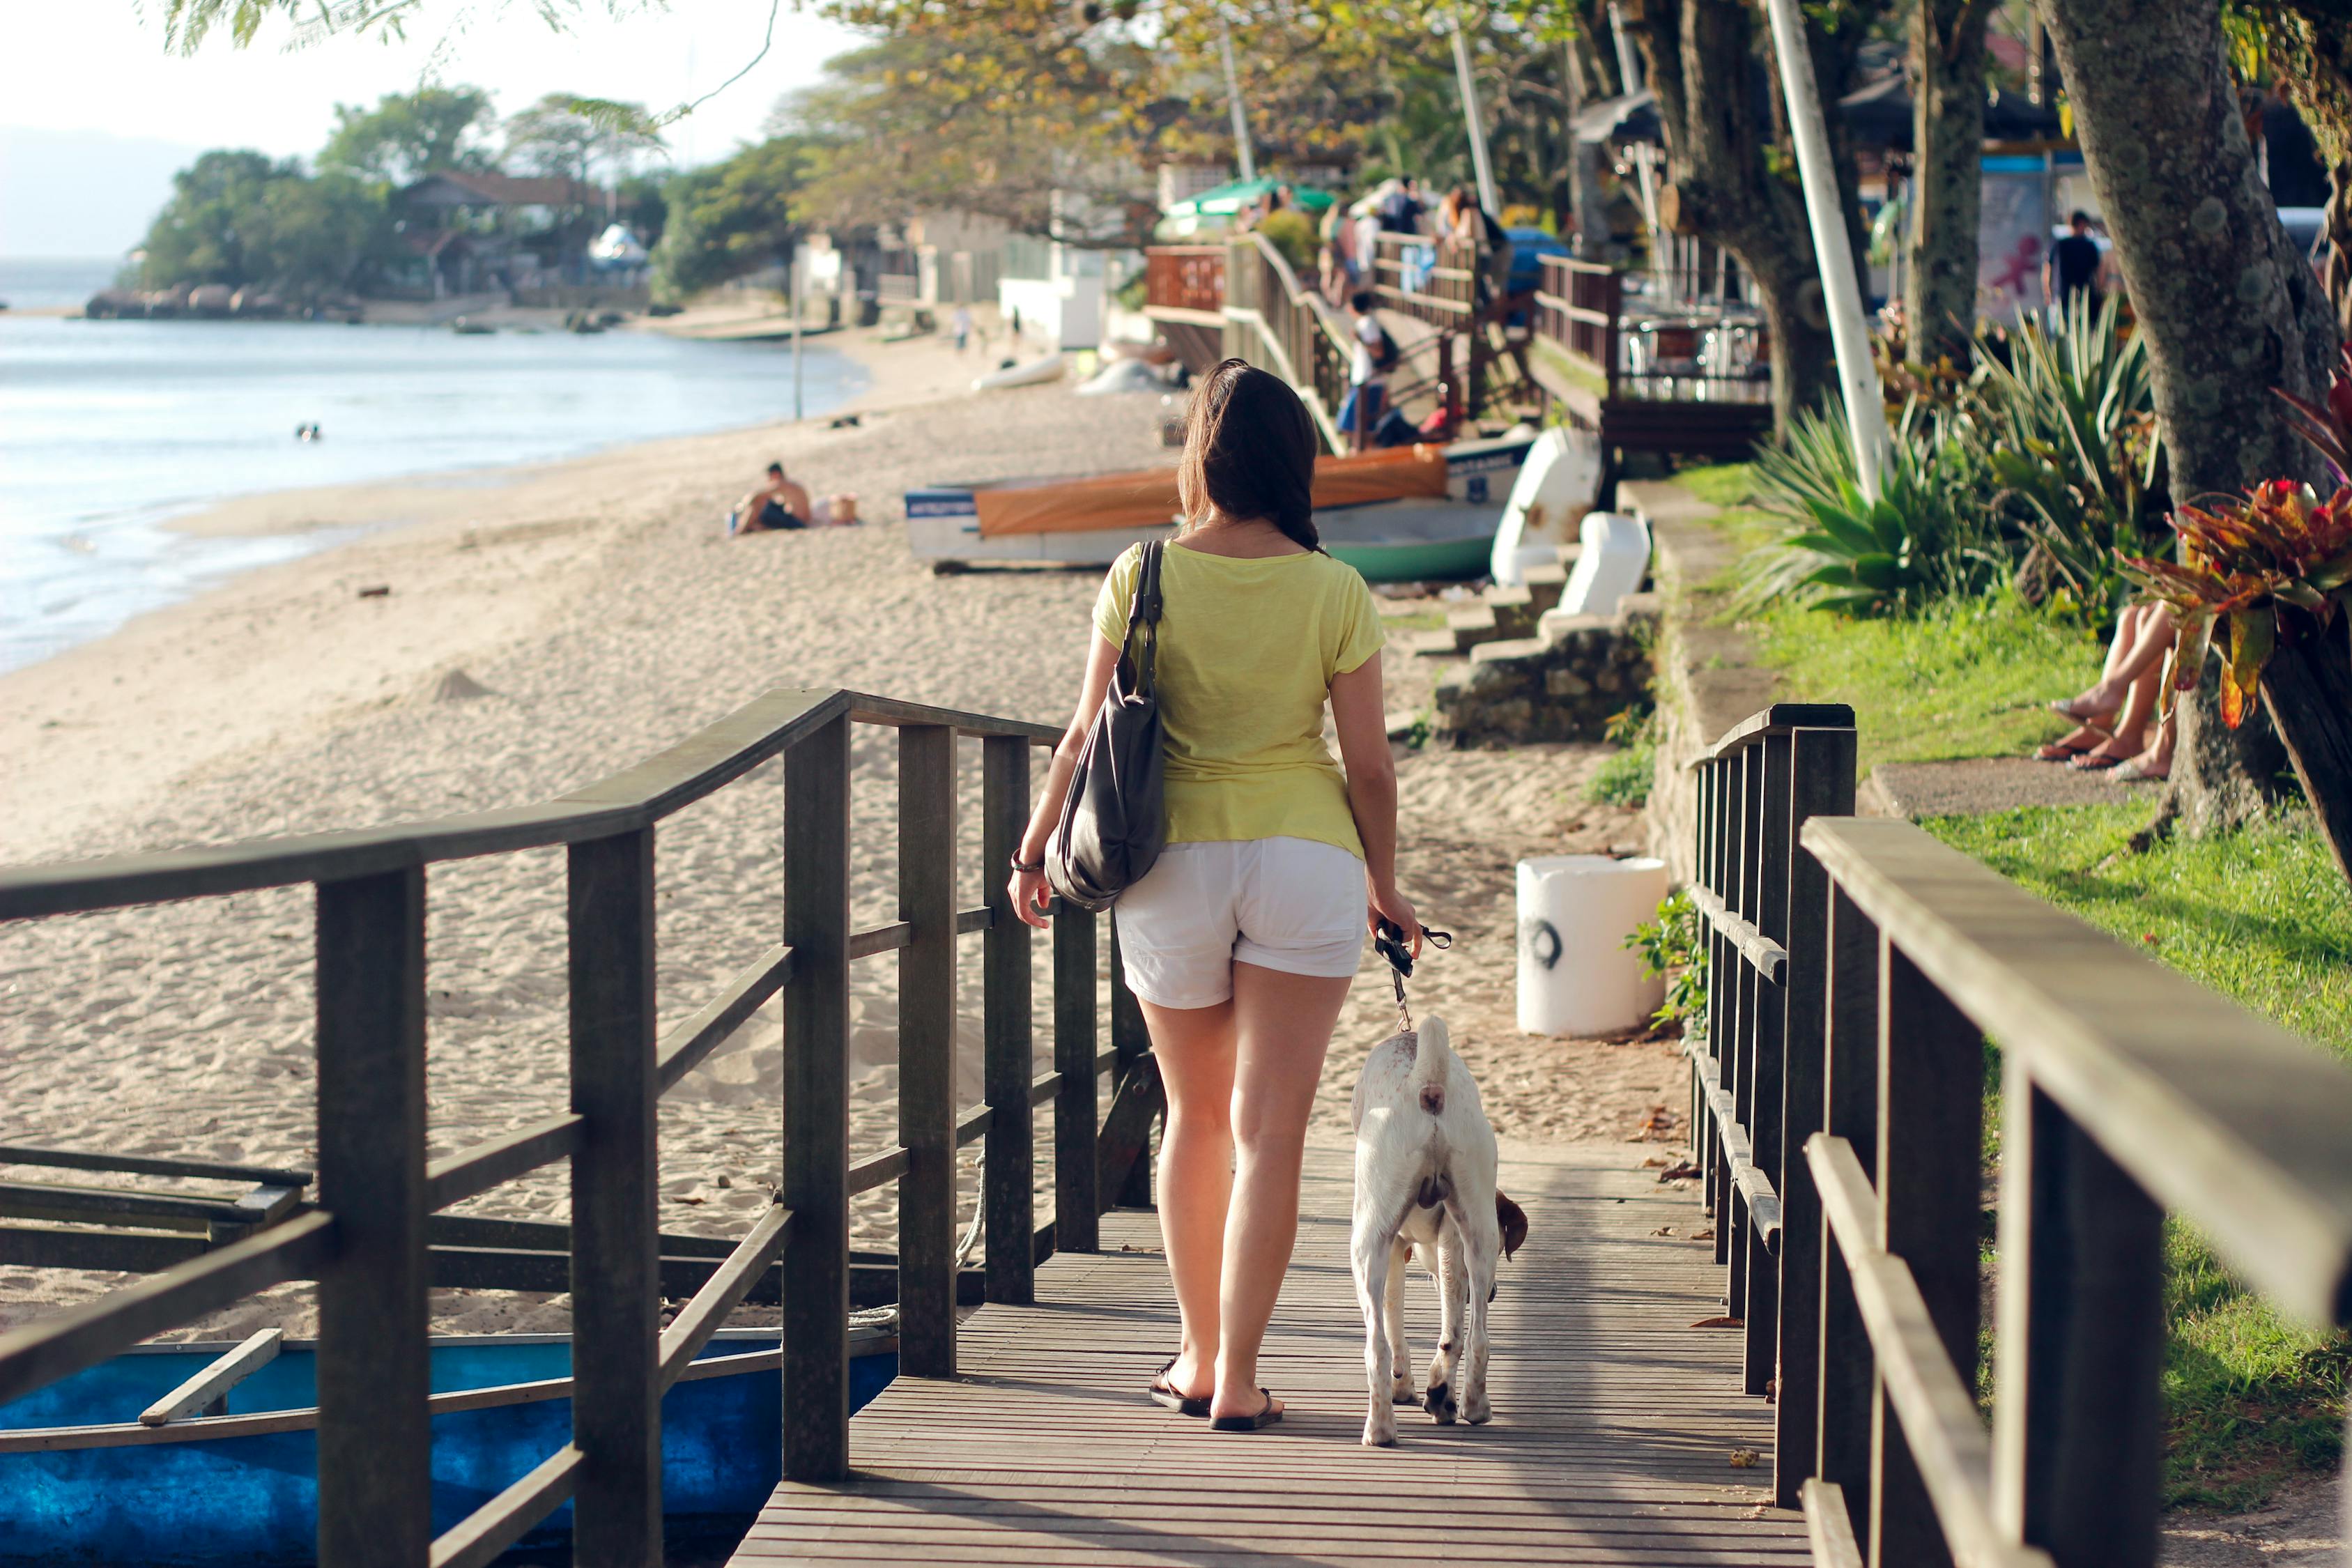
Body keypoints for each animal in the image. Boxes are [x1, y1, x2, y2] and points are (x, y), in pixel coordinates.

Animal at [1355, 1020, 1533, 1447]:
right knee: (1472, 1337)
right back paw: (1466, 1405)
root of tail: (1429, 1085)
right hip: (1475, 1230)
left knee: (1377, 1346)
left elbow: (1393, 1324)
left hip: (1367, 1242)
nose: (1493, 1292)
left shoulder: (1395, 1248)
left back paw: (1381, 1429)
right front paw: (1440, 1395)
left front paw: (1404, 1386)